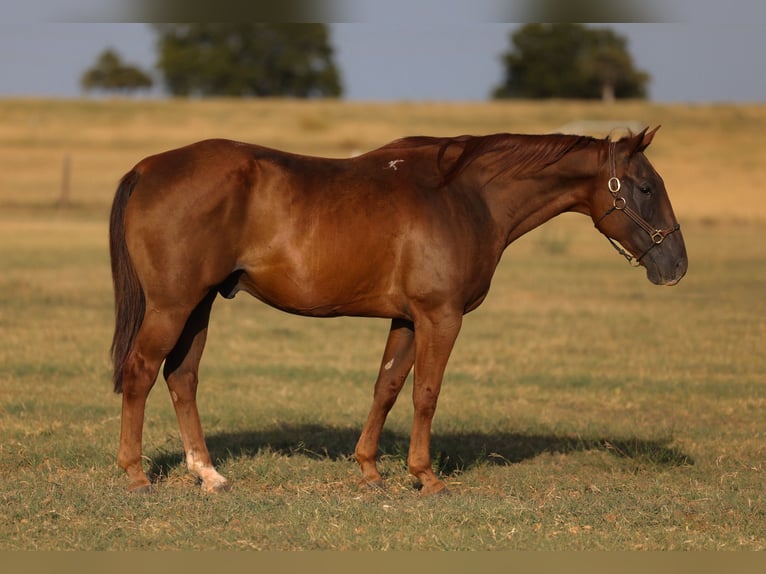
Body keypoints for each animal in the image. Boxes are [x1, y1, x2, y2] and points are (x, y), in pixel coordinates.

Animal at [109, 127, 687, 495]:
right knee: (141, 372)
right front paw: (425, 476)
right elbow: (426, 393)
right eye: (645, 187)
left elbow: (386, 386)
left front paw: (370, 469)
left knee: (182, 377)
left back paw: (207, 475)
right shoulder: (441, 316)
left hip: (199, 305)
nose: (677, 264)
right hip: (173, 306)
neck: (466, 197)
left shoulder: (408, 318)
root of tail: (148, 166)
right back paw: (135, 474)